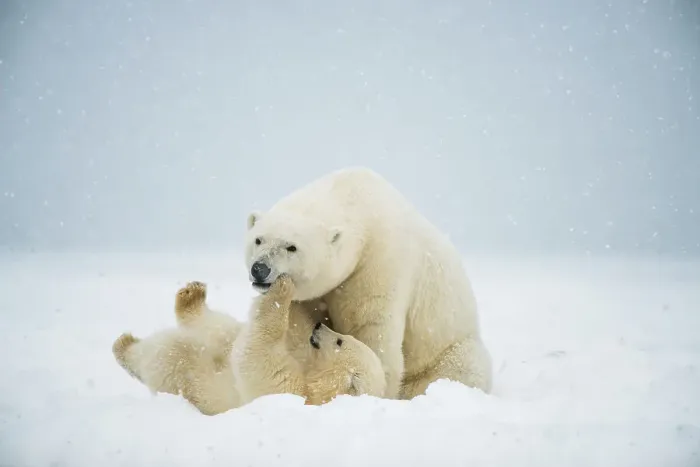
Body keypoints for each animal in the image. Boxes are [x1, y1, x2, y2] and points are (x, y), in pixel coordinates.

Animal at [112, 277, 386, 414]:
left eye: (340, 341)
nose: (319, 327)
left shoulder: (292, 392)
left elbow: (257, 357)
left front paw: (283, 287)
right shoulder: (303, 355)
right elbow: (292, 333)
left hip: (186, 375)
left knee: (168, 354)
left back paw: (124, 345)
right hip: (222, 337)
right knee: (218, 329)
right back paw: (192, 294)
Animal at [244, 166, 493, 400]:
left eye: (292, 247)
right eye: (258, 240)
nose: (260, 269)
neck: (358, 201)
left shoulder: (379, 264)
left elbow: (372, 328)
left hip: (449, 350)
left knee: (463, 366)